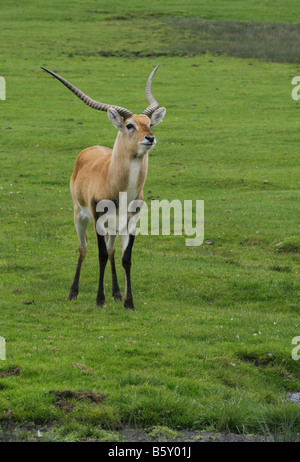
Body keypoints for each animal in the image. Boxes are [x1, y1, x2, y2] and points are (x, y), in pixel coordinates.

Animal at [41, 65, 166, 308]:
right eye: (129, 125)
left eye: (149, 123)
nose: (150, 138)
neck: (117, 185)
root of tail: (90, 149)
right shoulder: (98, 219)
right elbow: (99, 255)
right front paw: (100, 300)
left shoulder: (131, 222)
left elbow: (126, 258)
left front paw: (128, 302)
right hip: (80, 216)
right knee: (84, 248)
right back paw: (73, 292)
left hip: (113, 227)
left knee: (111, 250)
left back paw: (116, 293)